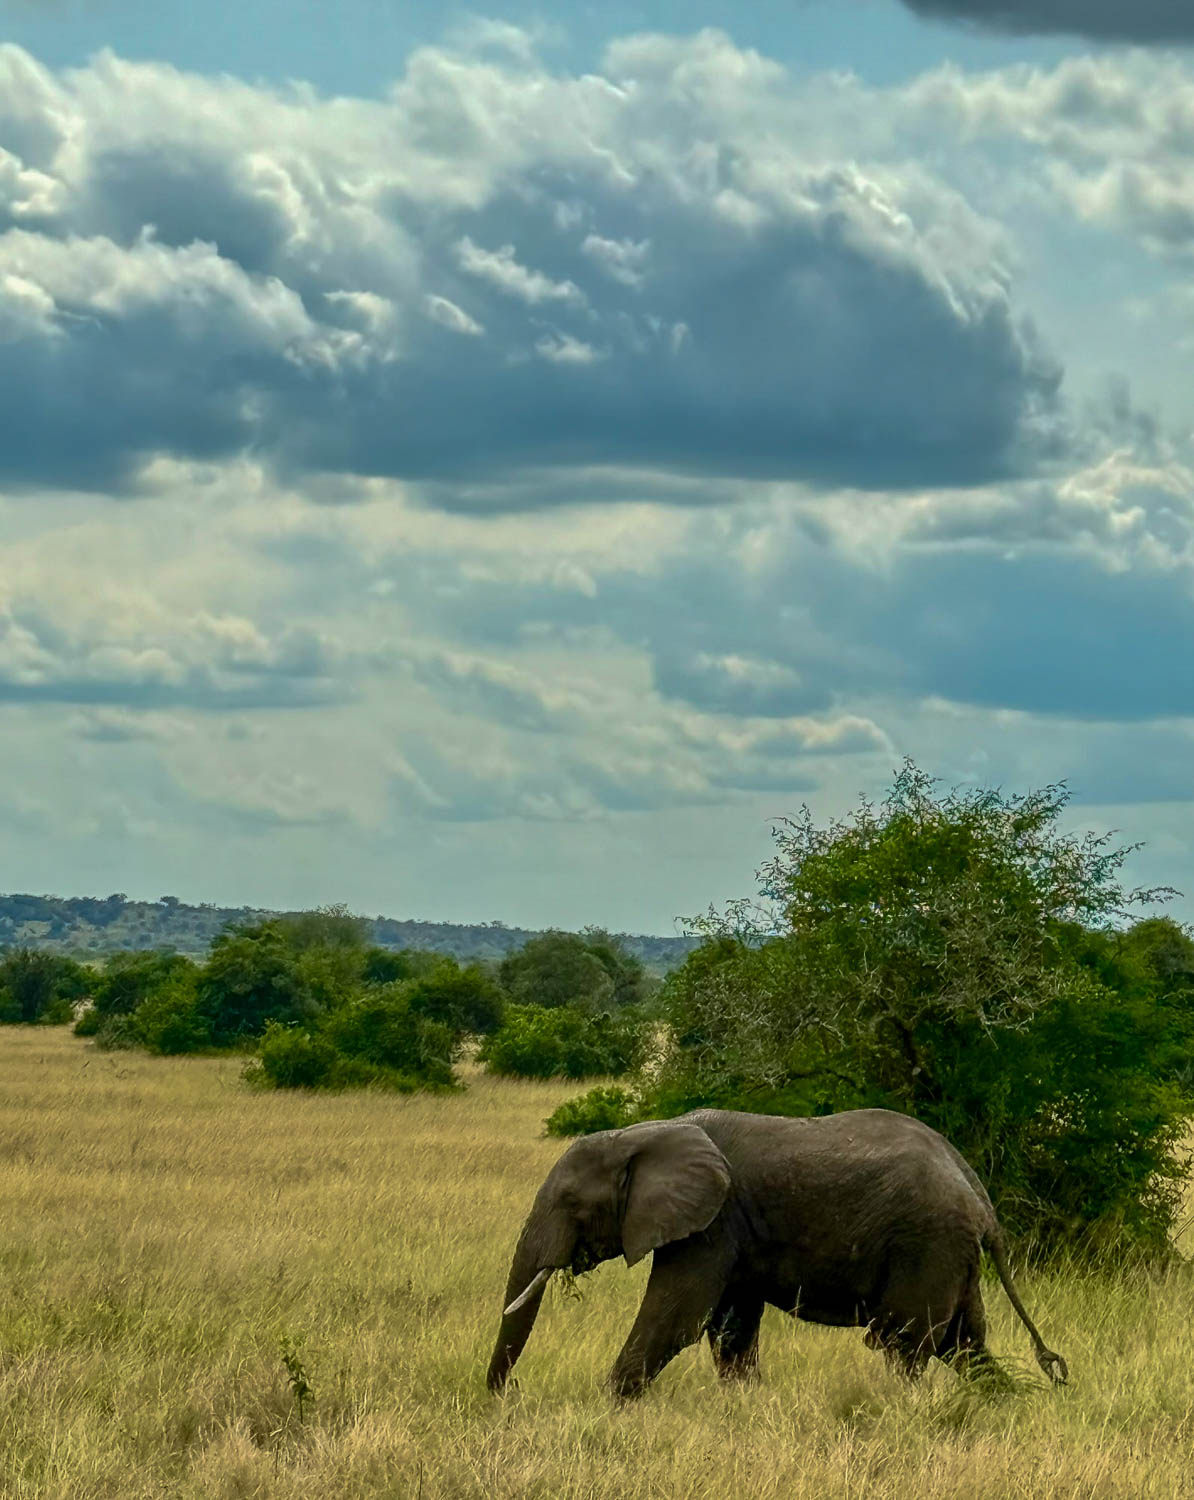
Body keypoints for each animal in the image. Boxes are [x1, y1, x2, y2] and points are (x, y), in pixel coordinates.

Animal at [486, 1107, 1068, 1399]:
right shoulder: (732, 1233)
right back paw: (1004, 1404)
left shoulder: (713, 1222)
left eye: (570, 1204)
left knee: (904, 1344)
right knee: (963, 1344)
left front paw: (611, 1402)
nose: (508, 1394)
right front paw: (745, 1402)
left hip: (927, 1245)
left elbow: (676, 1318)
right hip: (953, 1255)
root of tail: (982, 1200)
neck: (647, 1131)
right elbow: (730, 1327)